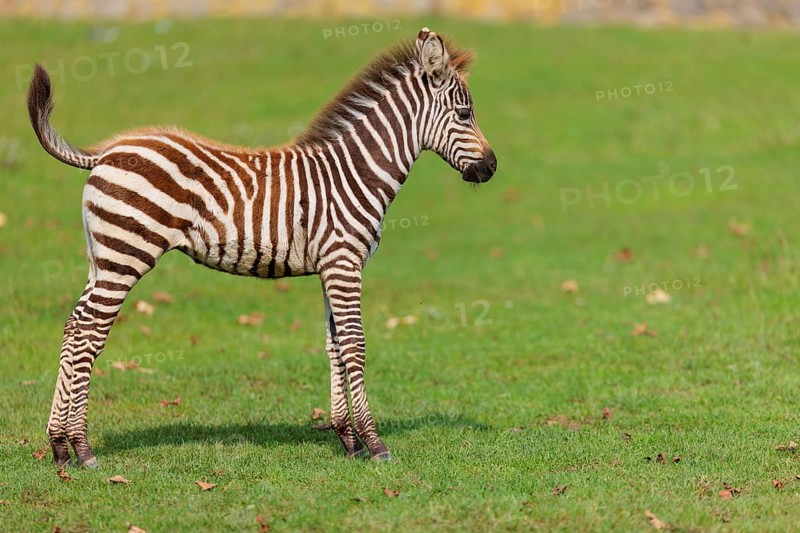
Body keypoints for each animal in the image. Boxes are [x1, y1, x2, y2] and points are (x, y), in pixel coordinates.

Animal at [27, 27, 497, 467]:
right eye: (464, 113)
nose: (492, 168)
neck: (354, 172)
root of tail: (106, 153)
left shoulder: (331, 268)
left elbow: (334, 347)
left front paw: (347, 439)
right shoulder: (344, 263)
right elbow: (355, 345)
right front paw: (374, 442)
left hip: (102, 258)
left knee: (73, 327)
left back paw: (60, 447)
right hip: (125, 255)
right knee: (89, 334)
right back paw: (83, 448)